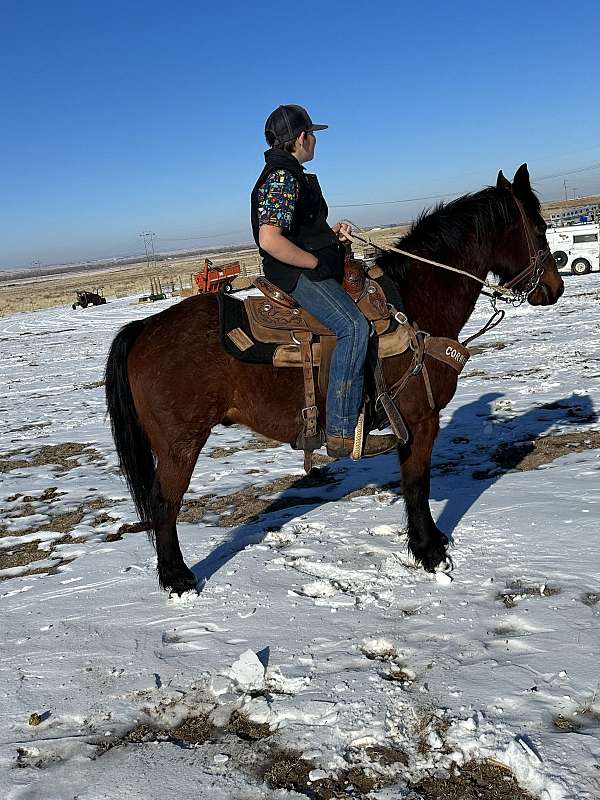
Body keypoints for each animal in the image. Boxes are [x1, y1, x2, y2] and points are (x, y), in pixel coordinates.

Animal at [104, 166, 564, 596]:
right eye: (539, 228)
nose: (554, 288)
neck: (415, 302)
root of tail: (143, 328)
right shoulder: (420, 420)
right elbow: (417, 483)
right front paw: (430, 551)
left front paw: (428, 545)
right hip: (179, 444)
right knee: (165, 504)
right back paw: (178, 579)